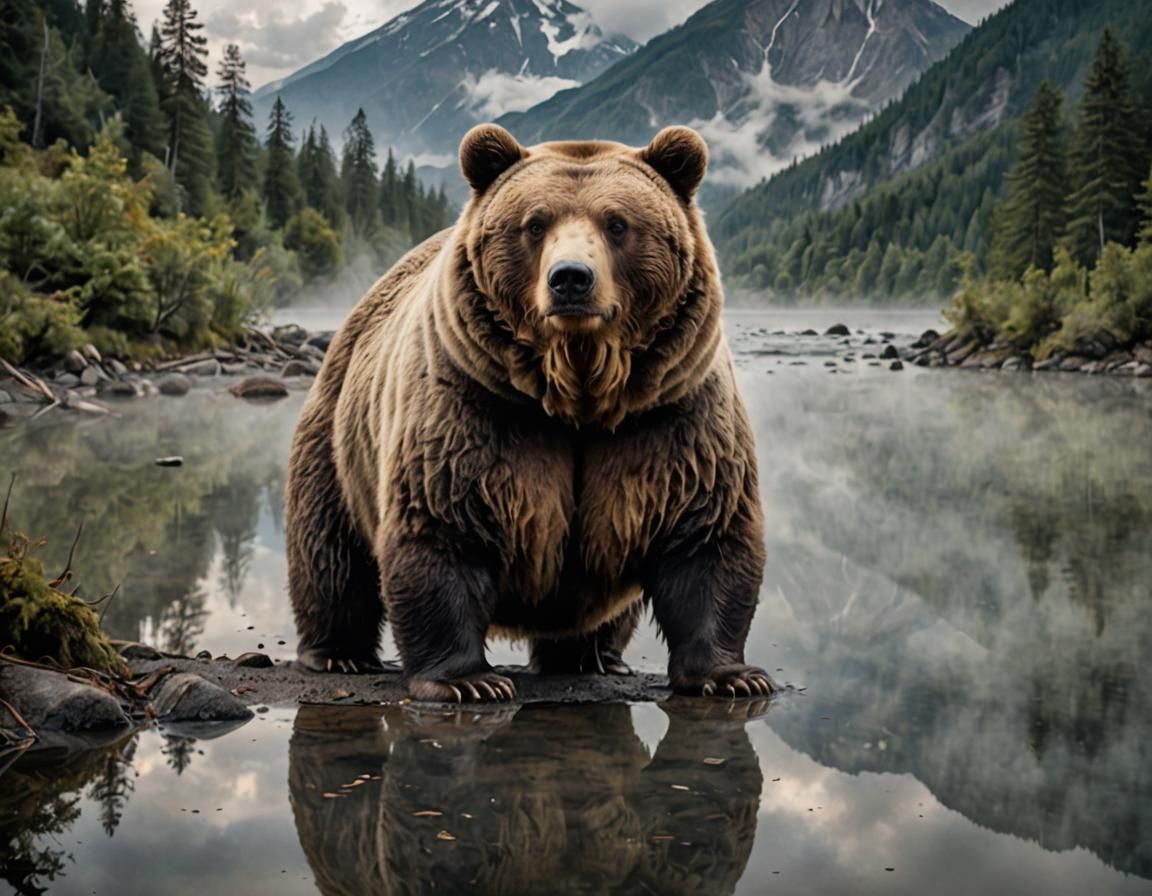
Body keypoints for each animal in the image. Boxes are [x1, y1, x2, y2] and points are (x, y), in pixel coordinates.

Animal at [284, 123, 772, 703]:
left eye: (617, 223)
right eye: (535, 223)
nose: (571, 278)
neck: (579, 392)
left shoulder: (672, 415)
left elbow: (705, 534)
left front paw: (732, 675)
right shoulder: (477, 408)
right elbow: (446, 527)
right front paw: (468, 681)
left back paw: (594, 657)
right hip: (339, 435)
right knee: (331, 551)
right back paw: (337, 653)